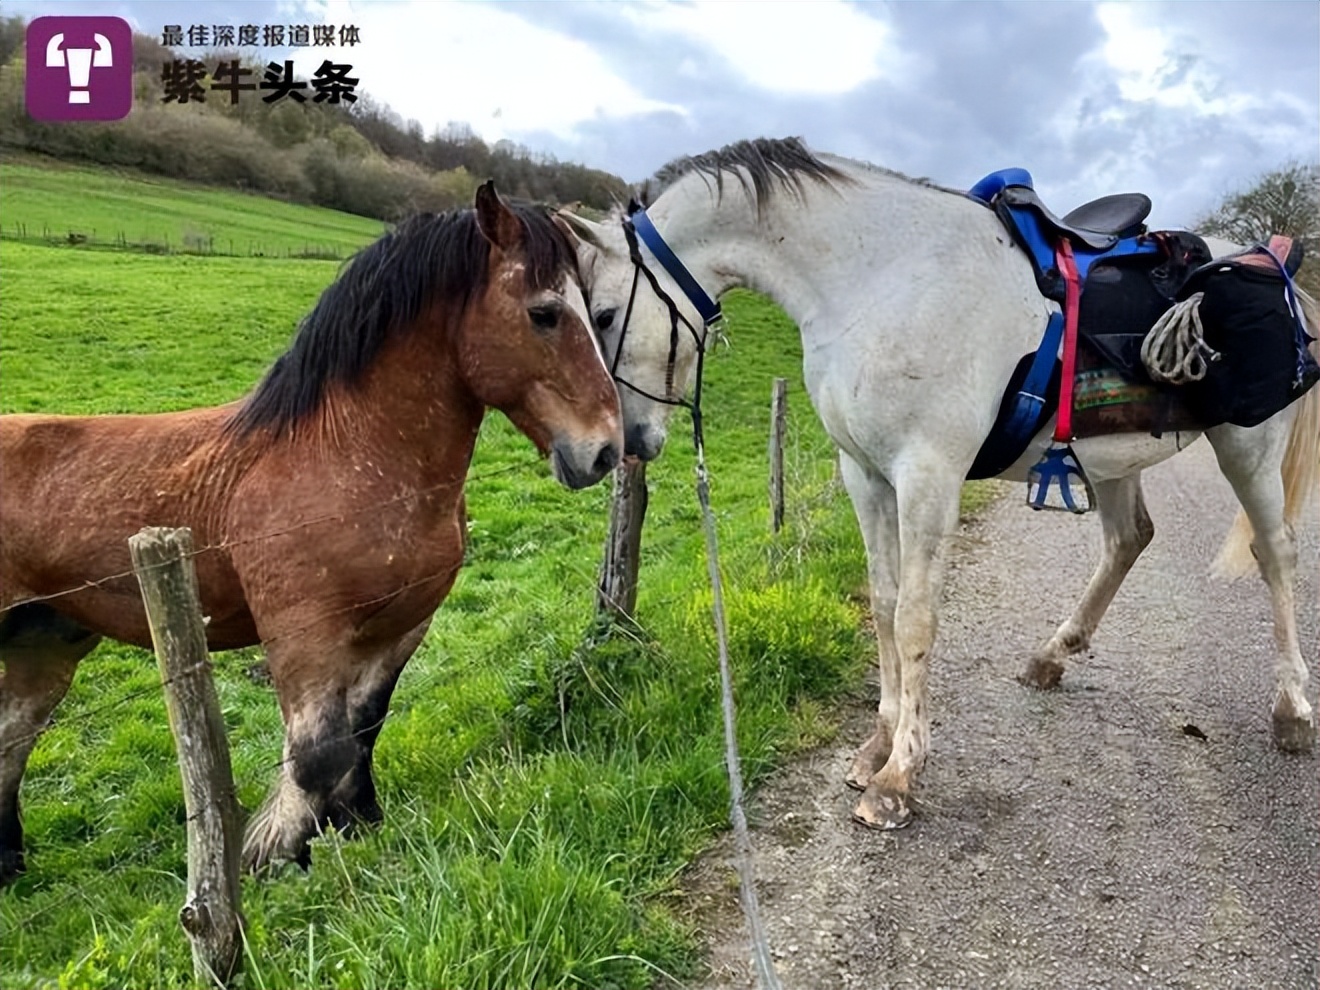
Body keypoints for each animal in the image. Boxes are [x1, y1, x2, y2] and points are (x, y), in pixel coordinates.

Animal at [0, 181, 623, 881]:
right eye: (545, 313)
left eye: (595, 312)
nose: (605, 449)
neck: (345, 453)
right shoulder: (305, 638)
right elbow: (318, 753)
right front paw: (281, 857)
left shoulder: (399, 627)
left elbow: (363, 731)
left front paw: (359, 829)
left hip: (43, 645)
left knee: (8, 744)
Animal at [559, 137, 1319, 832]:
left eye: (603, 314)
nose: (611, 450)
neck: (877, 278)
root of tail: (1279, 272)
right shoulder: (866, 476)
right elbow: (884, 605)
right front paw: (877, 745)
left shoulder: (927, 475)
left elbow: (915, 618)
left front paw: (899, 777)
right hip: (1115, 460)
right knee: (1129, 540)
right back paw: (1052, 656)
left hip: (1246, 447)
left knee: (1275, 553)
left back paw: (1292, 709)